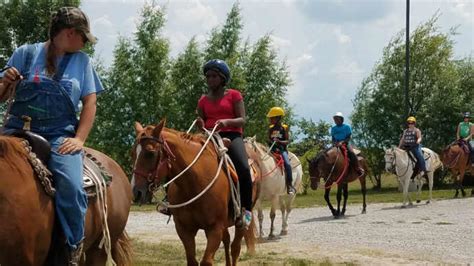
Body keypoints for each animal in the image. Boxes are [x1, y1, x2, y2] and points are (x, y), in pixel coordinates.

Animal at [131, 119, 258, 264]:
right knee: (226, 240)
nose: (136, 192)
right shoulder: (184, 230)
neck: (193, 184)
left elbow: (206, 261)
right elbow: (192, 260)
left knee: (235, 248)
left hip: (240, 222)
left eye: (150, 153)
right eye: (132, 153)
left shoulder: (214, 229)